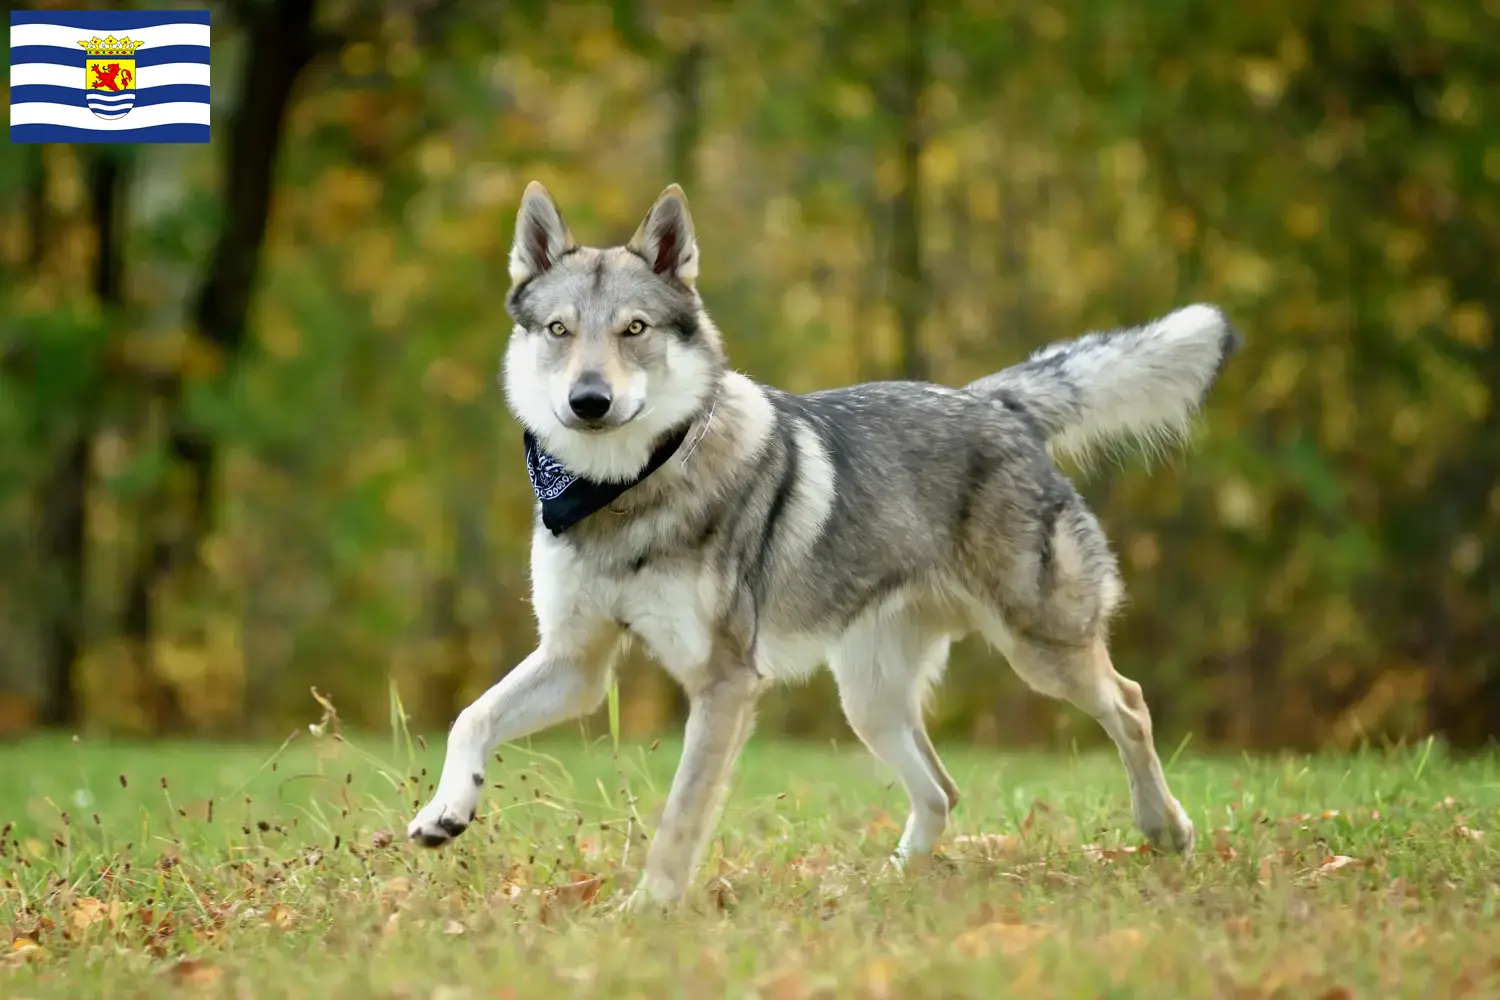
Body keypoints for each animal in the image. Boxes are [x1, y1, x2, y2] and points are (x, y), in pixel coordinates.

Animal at [405, 179, 1236, 905]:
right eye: (559, 330)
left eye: (633, 330)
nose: (589, 401)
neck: (626, 492)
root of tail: (993, 401)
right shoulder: (578, 665)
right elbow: (470, 716)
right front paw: (446, 811)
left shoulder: (726, 681)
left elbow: (680, 817)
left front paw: (645, 913)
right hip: (869, 701)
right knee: (944, 789)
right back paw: (882, 887)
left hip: (1040, 651)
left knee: (1131, 706)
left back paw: (1166, 831)